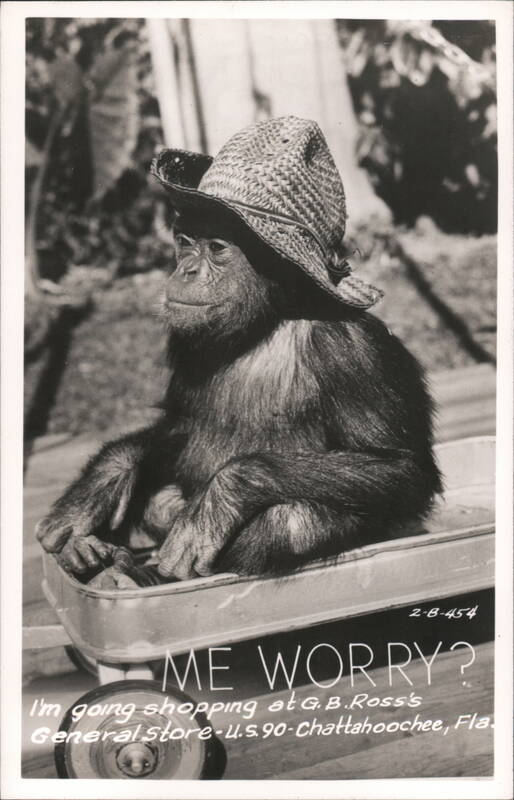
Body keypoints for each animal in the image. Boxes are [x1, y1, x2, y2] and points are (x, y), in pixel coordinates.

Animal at [36, 116, 442, 582]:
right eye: (184, 241)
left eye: (216, 248)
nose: (187, 270)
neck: (264, 321)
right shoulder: (184, 337)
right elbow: (177, 423)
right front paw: (103, 480)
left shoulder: (355, 352)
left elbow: (401, 467)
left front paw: (223, 498)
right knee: (162, 500)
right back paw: (100, 555)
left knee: (290, 522)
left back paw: (129, 571)